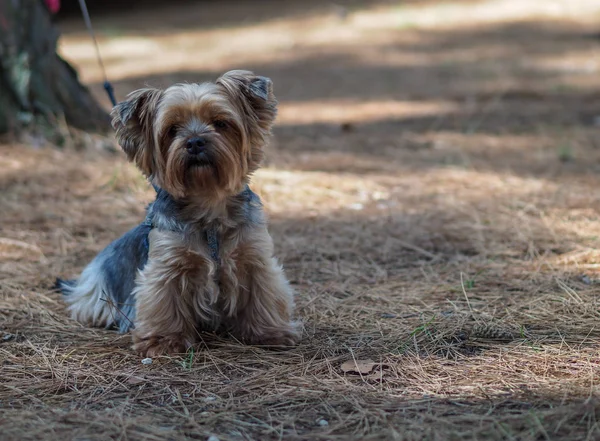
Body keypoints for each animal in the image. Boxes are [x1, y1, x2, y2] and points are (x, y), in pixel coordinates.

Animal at [56, 70, 300, 356]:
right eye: (172, 130)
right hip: (98, 287)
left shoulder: (254, 257)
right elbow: (164, 301)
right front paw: (163, 341)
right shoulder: (167, 265)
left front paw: (269, 332)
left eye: (220, 123)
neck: (207, 203)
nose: (194, 141)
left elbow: (263, 294)